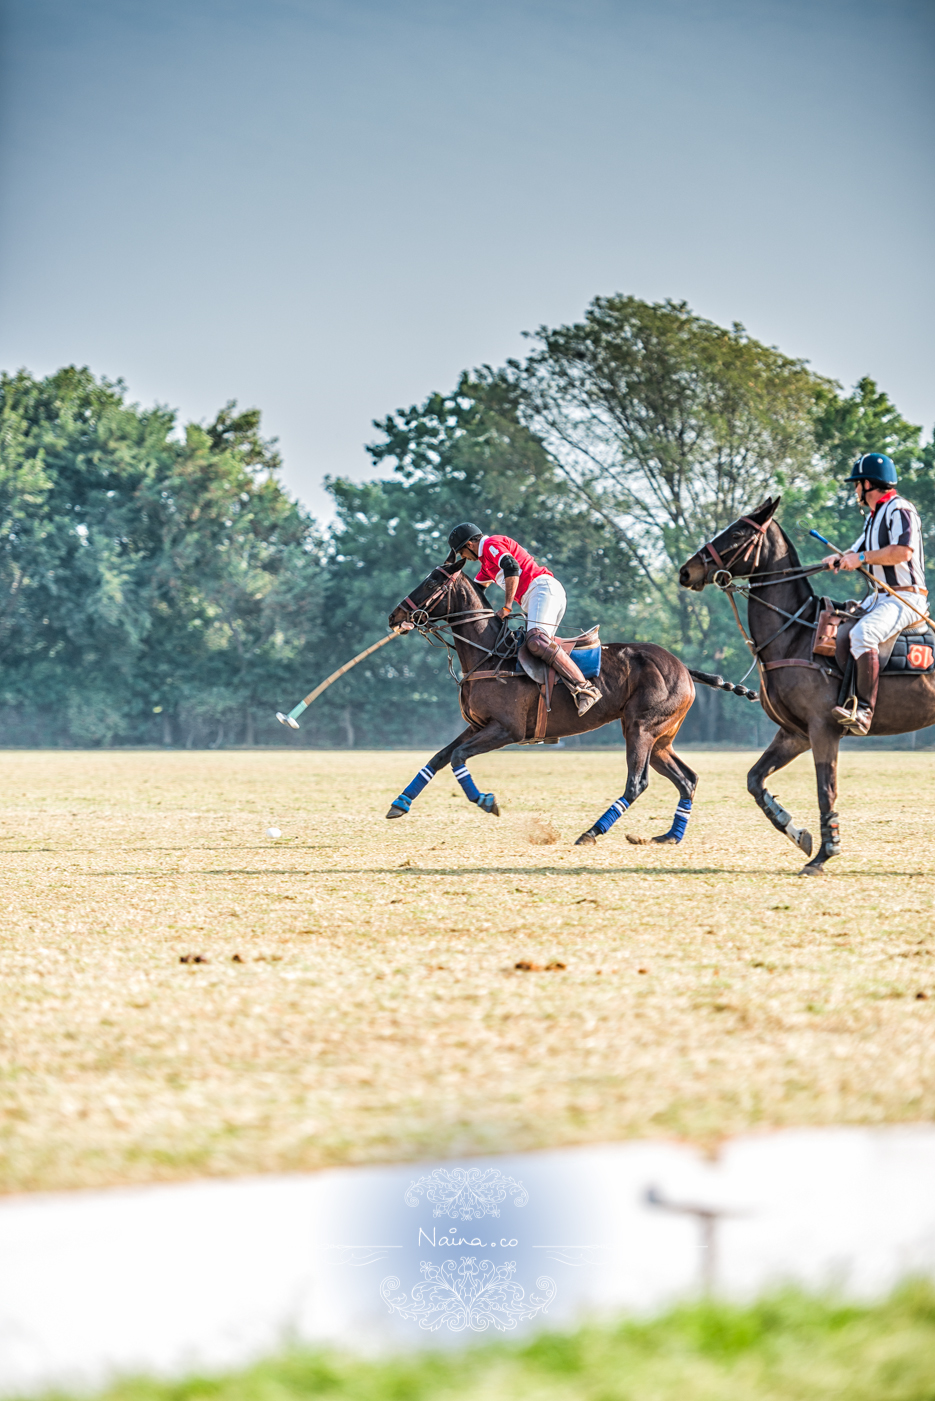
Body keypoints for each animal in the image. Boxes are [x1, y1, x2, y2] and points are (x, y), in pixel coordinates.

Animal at [386, 554, 700, 840]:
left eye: (431, 582)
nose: (394, 617)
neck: (491, 655)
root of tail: (684, 669)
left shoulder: (507, 730)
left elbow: (458, 756)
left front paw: (486, 801)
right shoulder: (478, 725)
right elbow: (440, 756)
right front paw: (400, 803)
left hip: (641, 728)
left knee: (637, 783)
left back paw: (592, 832)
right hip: (660, 738)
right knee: (687, 779)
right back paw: (670, 835)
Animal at [675, 495, 935, 874]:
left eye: (737, 532)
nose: (686, 571)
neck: (795, 633)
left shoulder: (823, 727)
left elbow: (825, 789)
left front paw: (824, 853)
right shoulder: (795, 732)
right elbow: (755, 779)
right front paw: (798, 834)